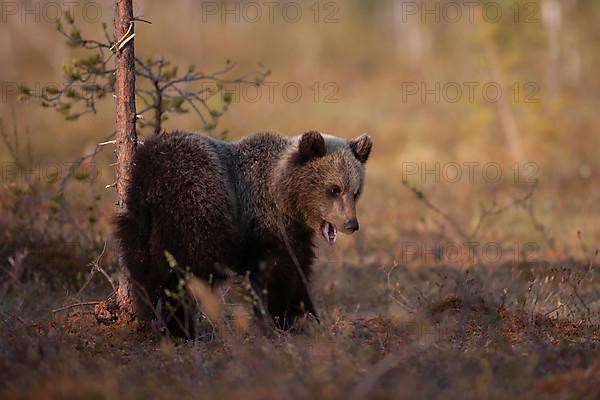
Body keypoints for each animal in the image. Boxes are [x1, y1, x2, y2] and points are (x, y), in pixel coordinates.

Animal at [113, 130, 370, 334]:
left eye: (355, 191)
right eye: (334, 189)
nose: (351, 224)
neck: (283, 196)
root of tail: (149, 173)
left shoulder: (293, 233)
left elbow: (299, 268)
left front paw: (304, 313)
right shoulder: (263, 224)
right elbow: (275, 273)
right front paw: (277, 319)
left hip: (136, 222)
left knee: (142, 270)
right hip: (194, 209)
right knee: (182, 275)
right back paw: (181, 328)